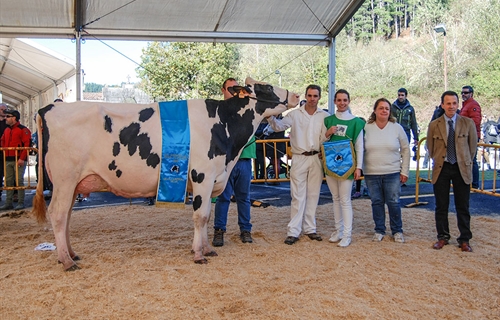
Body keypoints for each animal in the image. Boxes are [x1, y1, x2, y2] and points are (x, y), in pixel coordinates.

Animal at [33, 77, 298, 270]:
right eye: (266, 87)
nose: (296, 95)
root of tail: (51, 107)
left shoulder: (213, 179)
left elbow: (208, 215)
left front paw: (207, 249)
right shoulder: (202, 177)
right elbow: (200, 216)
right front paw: (199, 254)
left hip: (72, 183)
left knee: (66, 216)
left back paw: (71, 254)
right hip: (65, 179)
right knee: (58, 214)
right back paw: (67, 261)